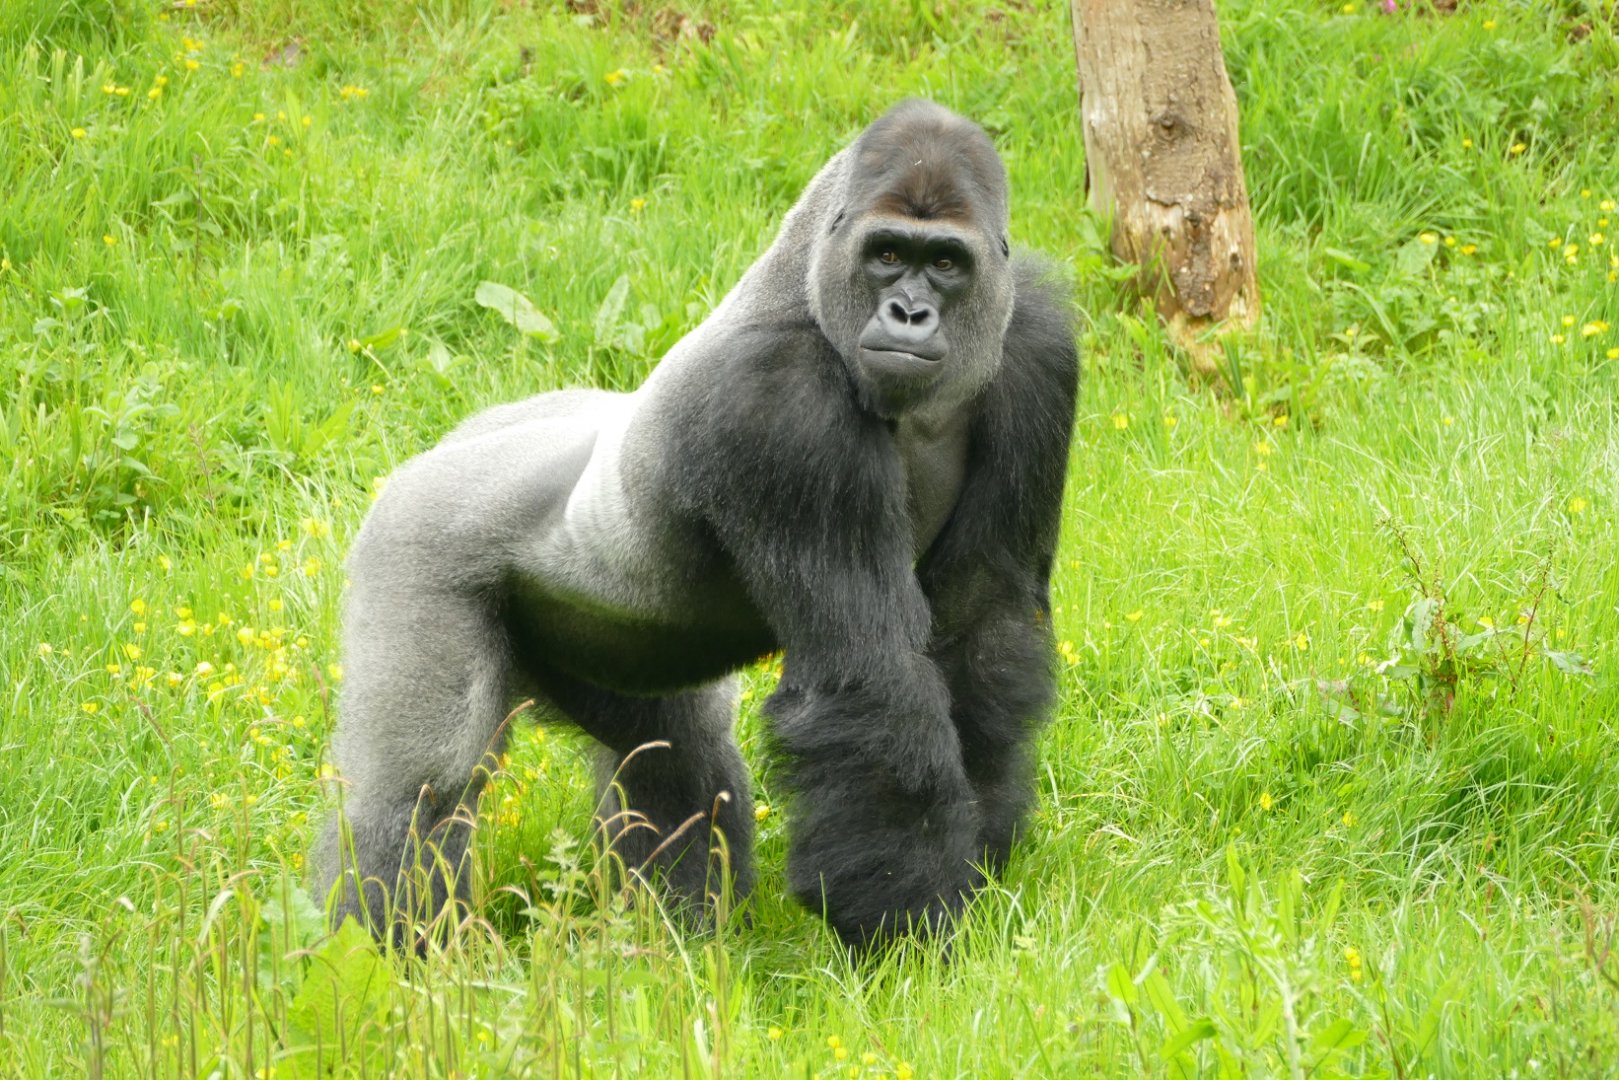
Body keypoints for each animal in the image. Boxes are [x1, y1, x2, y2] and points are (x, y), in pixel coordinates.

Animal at [315, 99, 1079, 949]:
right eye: (886, 254)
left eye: (945, 264)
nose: (908, 313)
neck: (809, 274)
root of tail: (443, 447)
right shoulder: (780, 402)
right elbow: (868, 676)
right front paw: (907, 922)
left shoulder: (1037, 347)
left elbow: (985, 623)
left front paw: (979, 863)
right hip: (412, 540)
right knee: (421, 789)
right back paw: (380, 951)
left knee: (675, 759)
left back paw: (674, 936)